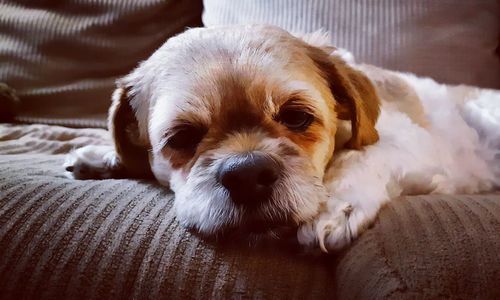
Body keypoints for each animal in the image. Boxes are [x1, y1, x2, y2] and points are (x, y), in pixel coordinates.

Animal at [63, 24, 500, 252]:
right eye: (183, 137)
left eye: (296, 116)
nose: (247, 174)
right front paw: (100, 155)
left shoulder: (417, 148)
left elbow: (360, 155)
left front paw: (334, 206)